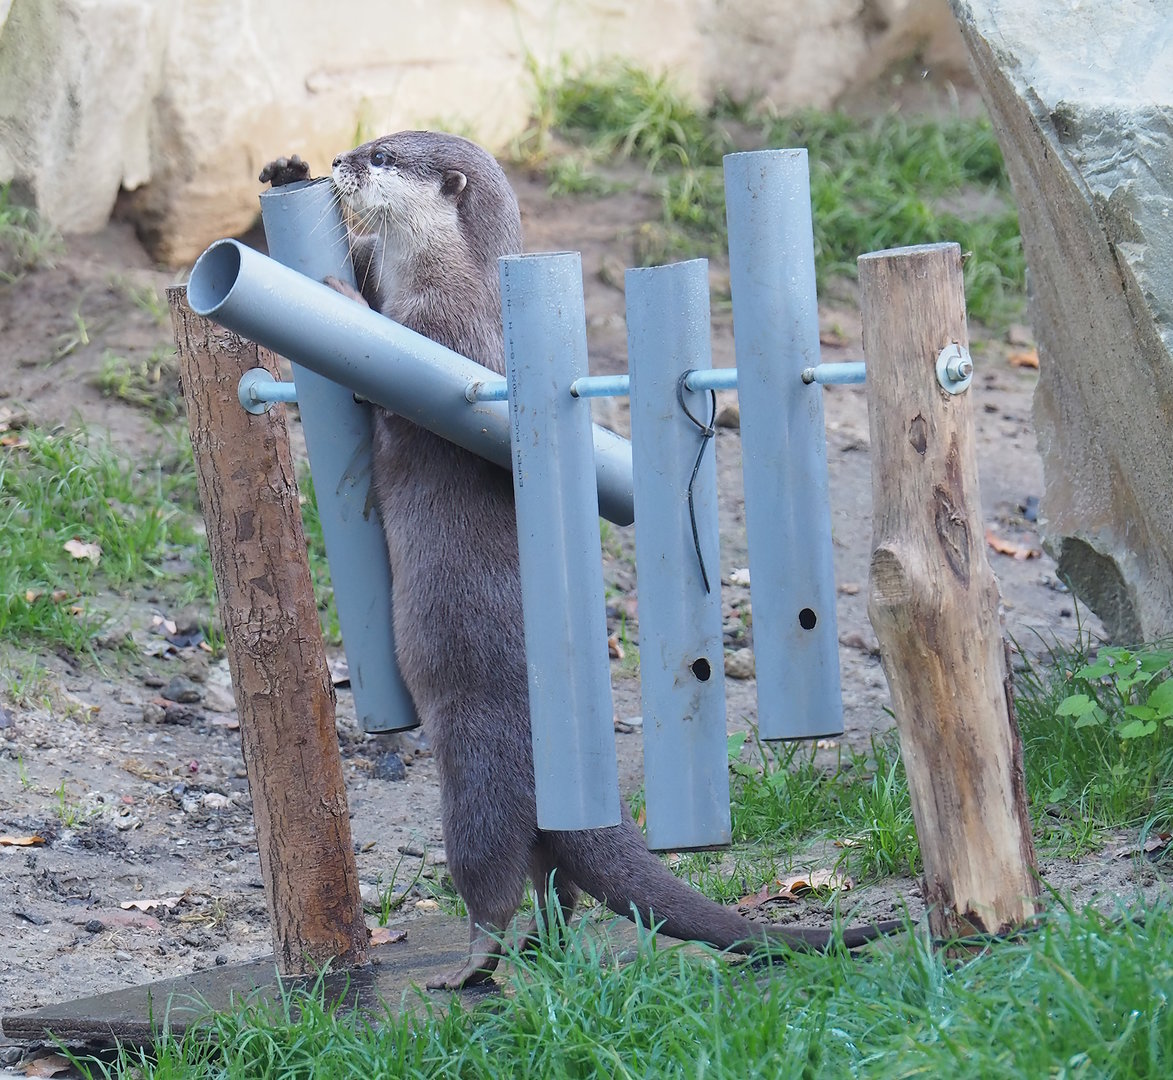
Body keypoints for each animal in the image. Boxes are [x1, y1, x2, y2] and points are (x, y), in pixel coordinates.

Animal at [262, 132, 901, 990]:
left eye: (386, 157)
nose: (340, 161)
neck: (451, 276)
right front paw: (287, 178)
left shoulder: (449, 333)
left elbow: (393, 364)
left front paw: (342, 294)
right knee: (556, 877)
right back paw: (544, 944)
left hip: (478, 777)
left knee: (492, 877)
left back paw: (472, 966)